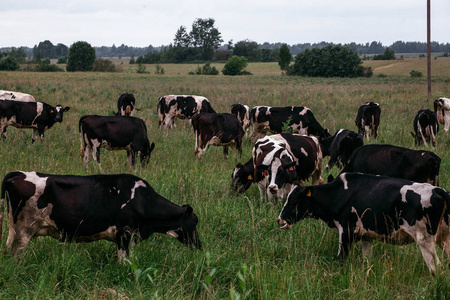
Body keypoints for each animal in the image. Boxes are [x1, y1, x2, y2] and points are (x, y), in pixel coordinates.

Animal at [0, 171, 200, 260]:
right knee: (15, 256)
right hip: (24, 232)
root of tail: (20, 174)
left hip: (15, 231)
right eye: (195, 222)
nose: (199, 245)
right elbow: (124, 262)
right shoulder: (124, 234)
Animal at [278, 172, 450, 276]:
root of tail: (438, 190)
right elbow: (367, 259)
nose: (279, 219)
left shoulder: (346, 231)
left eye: (293, 201)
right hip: (445, 238)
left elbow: (340, 258)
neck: (338, 194)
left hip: (425, 240)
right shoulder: (367, 236)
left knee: (436, 267)